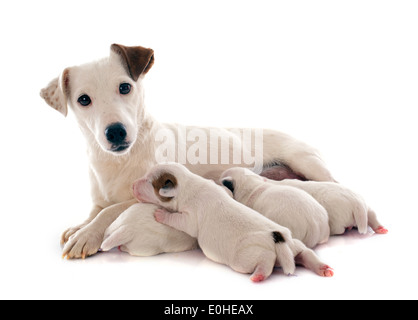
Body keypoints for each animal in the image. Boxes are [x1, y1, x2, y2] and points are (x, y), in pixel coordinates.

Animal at [41, 43, 336, 258]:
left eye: (125, 87)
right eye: (83, 100)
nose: (115, 132)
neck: (118, 162)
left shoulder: (146, 195)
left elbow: (108, 212)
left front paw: (86, 236)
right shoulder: (101, 198)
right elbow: (96, 211)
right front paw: (80, 227)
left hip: (309, 164)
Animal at [132, 164, 334, 282]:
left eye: (149, 182)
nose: (133, 185)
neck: (190, 184)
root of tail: (277, 239)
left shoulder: (190, 217)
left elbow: (178, 220)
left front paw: (160, 214)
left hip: (245, 258)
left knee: (265, 262)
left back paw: (258, 276)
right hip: (295, 245)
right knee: (306, 253)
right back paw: (324, 268)